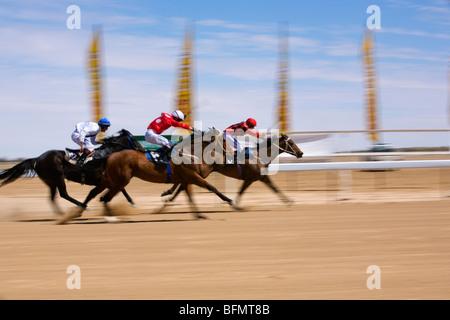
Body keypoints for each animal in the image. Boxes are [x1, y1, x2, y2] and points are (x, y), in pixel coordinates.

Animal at [0, 128, 144, 215]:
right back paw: (82, 207)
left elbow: (122, 189)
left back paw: (60, 214)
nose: (142, 149)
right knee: (63, 194)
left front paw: (132, 203)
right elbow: (114, 190)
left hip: (50, 181)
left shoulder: (107, 180)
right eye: (134, 139)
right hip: (58, 177)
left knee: (52, 197)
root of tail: (37, 159)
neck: (105, 155)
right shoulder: (101, 181)